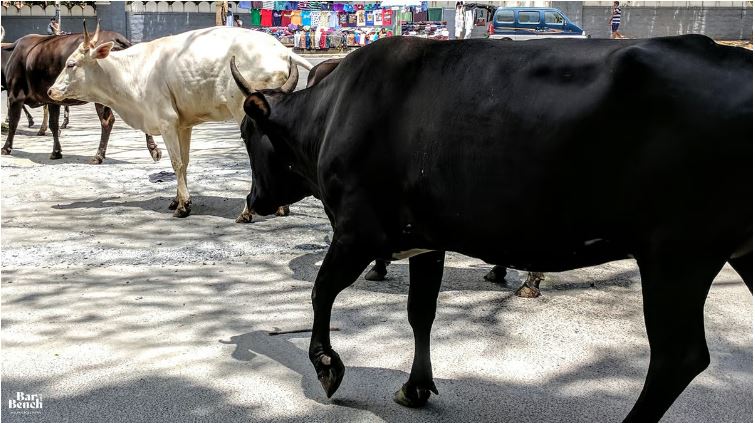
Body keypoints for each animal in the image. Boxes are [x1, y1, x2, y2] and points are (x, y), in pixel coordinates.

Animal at [2, 24, 159, 164]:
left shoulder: (15, 95)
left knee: (107, 122)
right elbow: (54, 124)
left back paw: (99, 155)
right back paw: (153, 150)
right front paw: (56, 151)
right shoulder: (52, 99)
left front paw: (6, 147)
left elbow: (14, 121)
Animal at [48, 24, 312, 219]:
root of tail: (281, 50)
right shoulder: (183, 125)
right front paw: (177, 200)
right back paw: (281, 206)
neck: (132, 73)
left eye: (71, 64)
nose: (50, 91)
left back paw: (247, 212)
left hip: (244, 110)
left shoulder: (166, 121)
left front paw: (184, 206)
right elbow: (184, 163)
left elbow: (175, 163)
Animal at [233, 37, 752, 423]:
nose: (254, 202)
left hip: (677, 254)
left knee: (677, 357)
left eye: (245, 133)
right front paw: (415, 387)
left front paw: (326, 365)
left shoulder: (358, 230)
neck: (331, 113)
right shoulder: (424, 239)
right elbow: (421, 312)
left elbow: (321, 291)